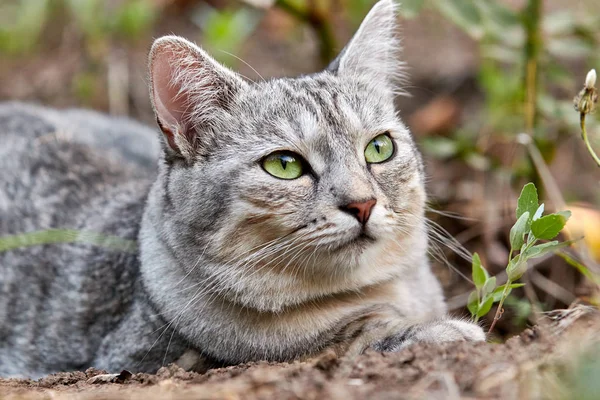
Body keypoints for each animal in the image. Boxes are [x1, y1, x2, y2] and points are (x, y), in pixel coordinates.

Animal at [0, 0, 482, 382]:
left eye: (379, 148)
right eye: (285, 165)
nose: (362, 203)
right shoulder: (153, 357)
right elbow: (349, 340)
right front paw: (437, 332)